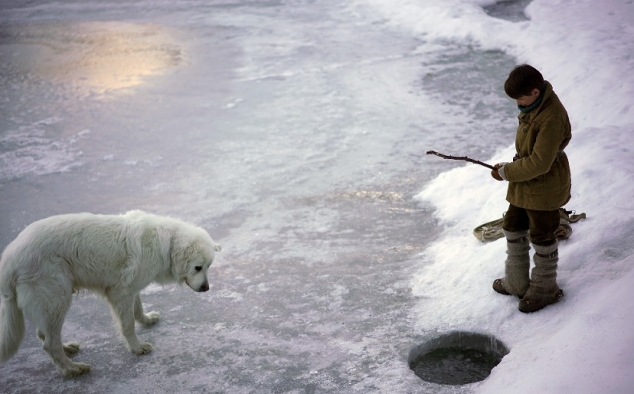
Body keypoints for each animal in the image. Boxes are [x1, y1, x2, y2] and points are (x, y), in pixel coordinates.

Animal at [0, 211, 221, 378]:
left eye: (208, 267)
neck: (168, 244)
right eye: (198, 267)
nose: (206, 288)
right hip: (57, 298)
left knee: (43, 334)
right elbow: (128, 324)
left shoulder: (131, 288)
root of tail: (10, 259)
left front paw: (147, 320)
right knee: (49, 344)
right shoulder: (120, 293)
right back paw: (72, 368)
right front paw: (137, 348)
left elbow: (138, 309)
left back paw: (68, 349)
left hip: (51, 303)